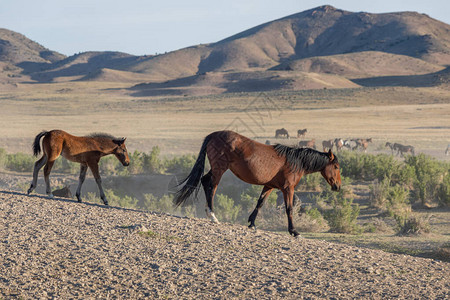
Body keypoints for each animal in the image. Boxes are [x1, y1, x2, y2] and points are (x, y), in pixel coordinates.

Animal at [175, 131, 342, 237]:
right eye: (336, 167)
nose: (338, 186)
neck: (295, 161)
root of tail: (213, 135)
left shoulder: (269, 186)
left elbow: (260, 203)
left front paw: (252, 223)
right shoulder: (288, 189)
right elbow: (289, 209)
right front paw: (294, 231)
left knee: (205, 181)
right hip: (219, 169)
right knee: (211, 187)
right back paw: (212, 215)